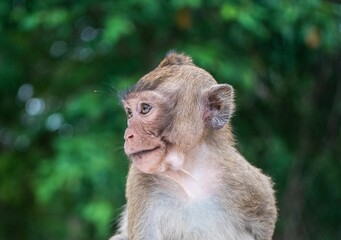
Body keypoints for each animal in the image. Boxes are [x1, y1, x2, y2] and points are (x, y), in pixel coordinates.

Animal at [111, 52, 276, 240]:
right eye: (129, 113)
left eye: (145, 108)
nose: (127, 135)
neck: (191, 176)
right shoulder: (140, 179)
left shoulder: (247, 183)